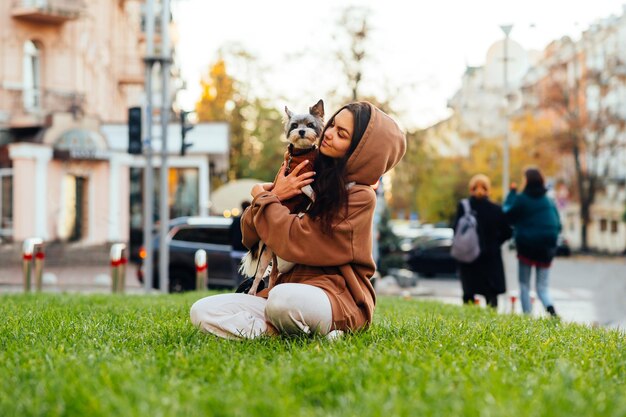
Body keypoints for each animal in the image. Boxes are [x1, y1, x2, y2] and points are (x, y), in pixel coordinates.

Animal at [239, 100, 324, 296]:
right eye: (294, 125)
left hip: (275, 258)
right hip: (265, 257)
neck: (302, 153)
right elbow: (312, 192)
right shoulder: (301, 180)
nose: (301, 131)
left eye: (310, 125)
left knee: (273, 275)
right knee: (258, 276)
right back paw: (252, 292)